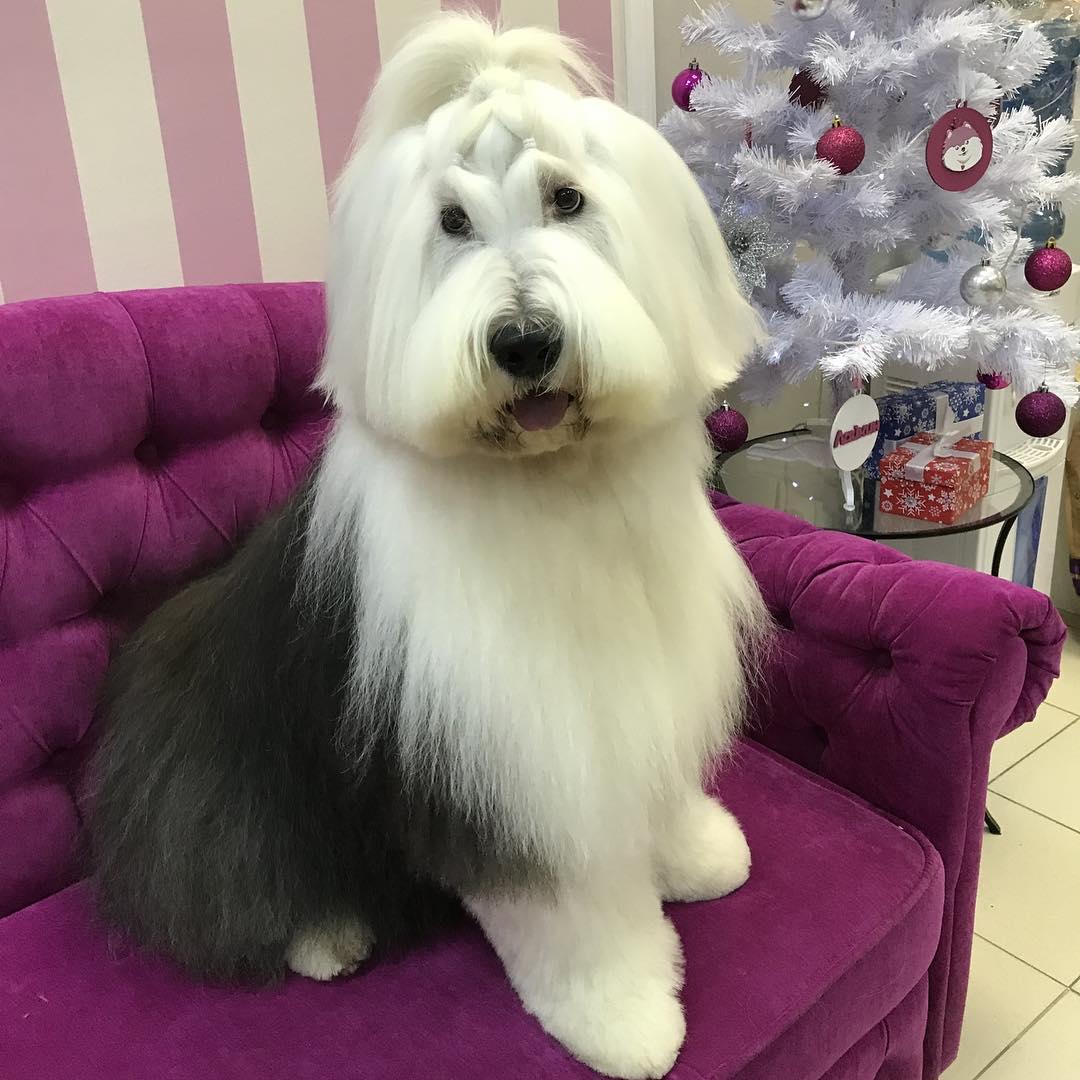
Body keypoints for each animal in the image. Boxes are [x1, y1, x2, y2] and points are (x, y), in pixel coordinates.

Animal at [92, 10, 768, 1080]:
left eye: (567, 198)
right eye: (450, 222)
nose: (524, 340)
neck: (555, 495)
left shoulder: (631, 696)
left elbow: (649, 789)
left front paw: (698, 853)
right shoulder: (497, 757)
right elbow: (566, 915)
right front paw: (625, 1016)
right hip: (230, 783)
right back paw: (327, 939)